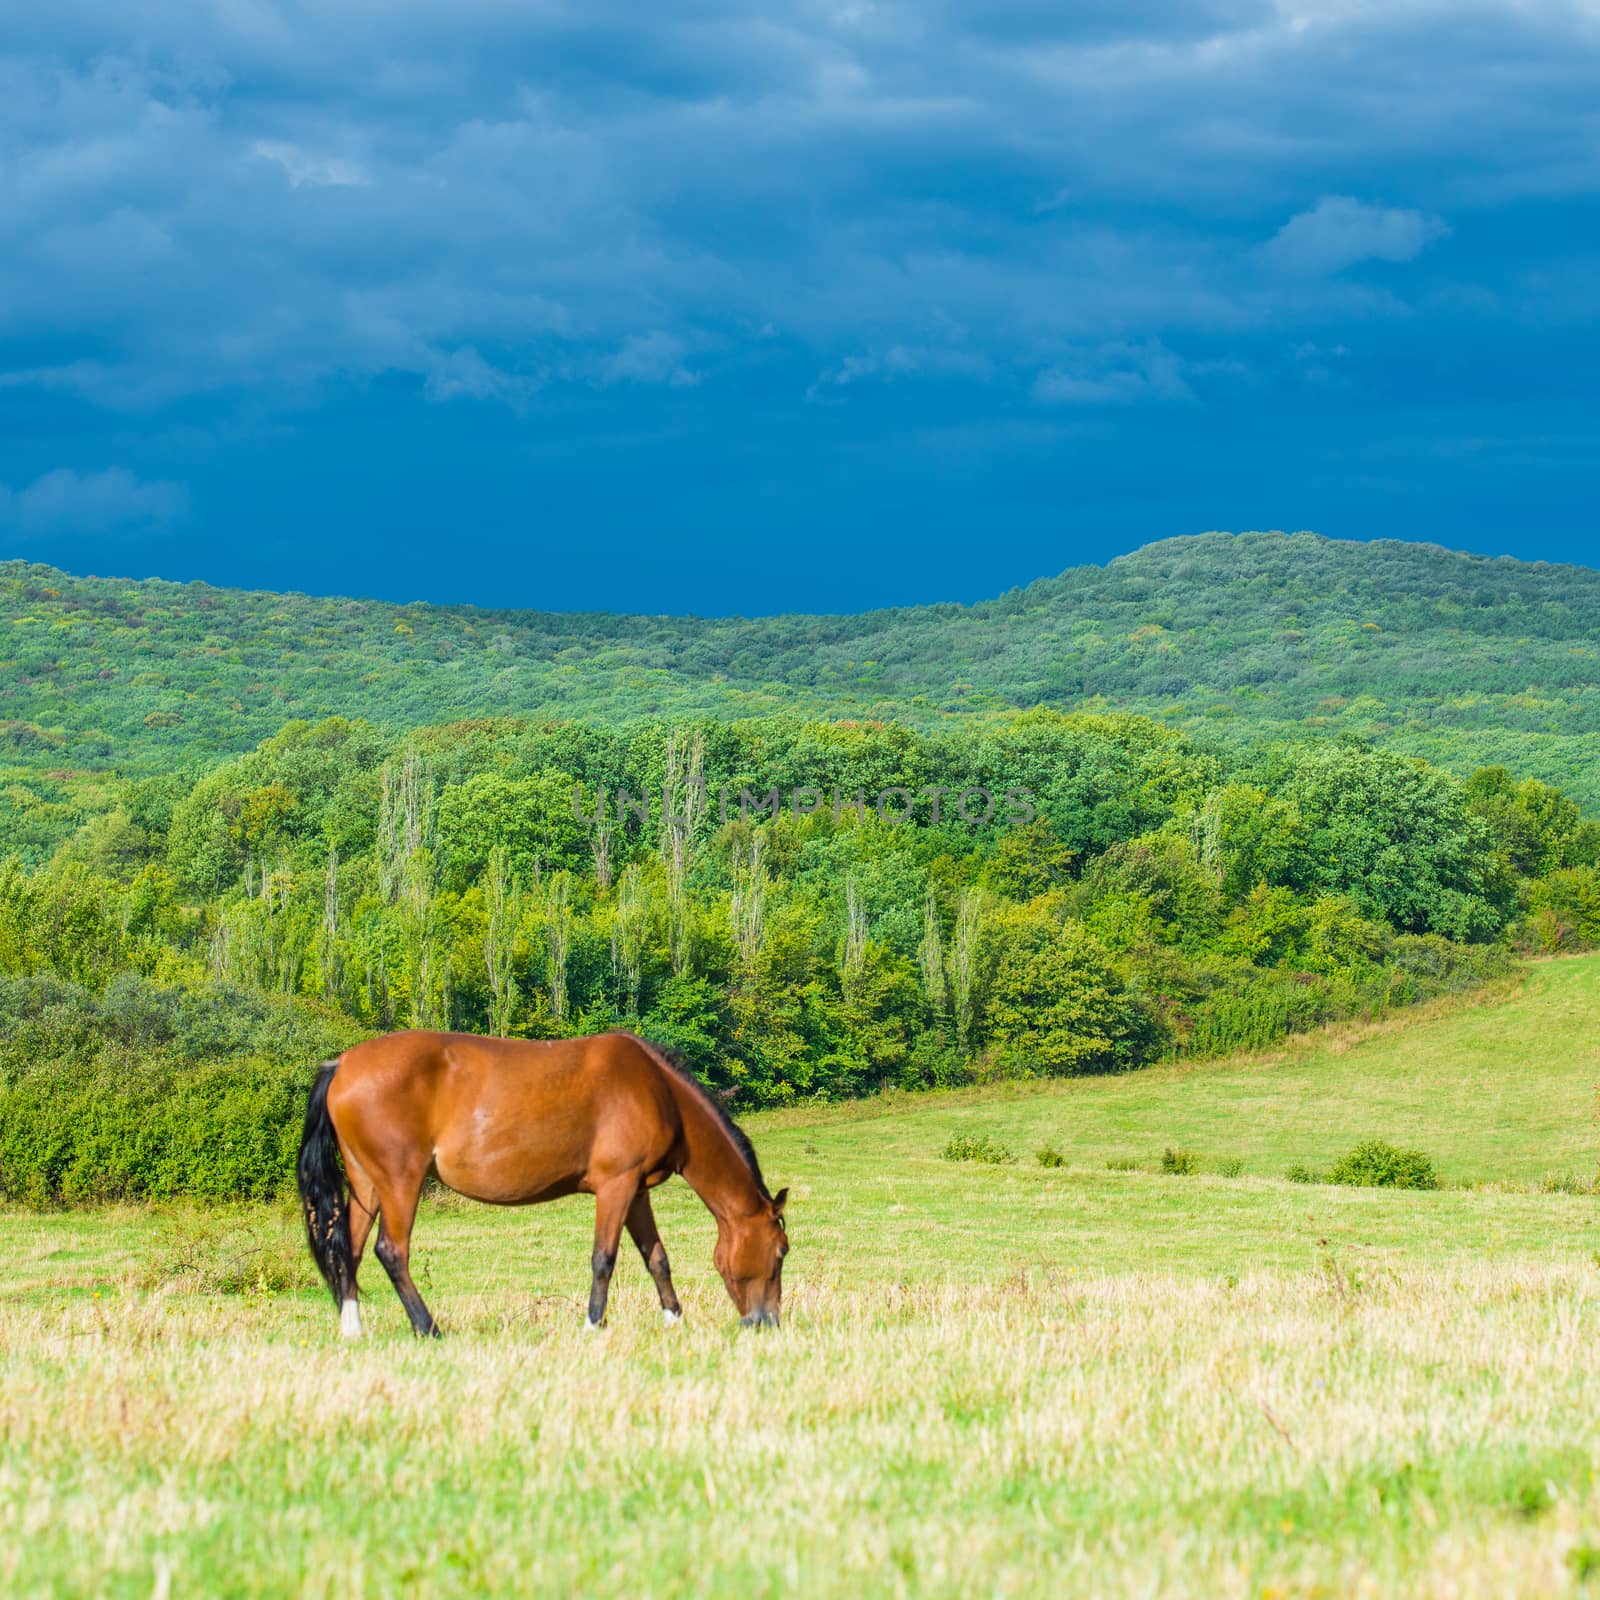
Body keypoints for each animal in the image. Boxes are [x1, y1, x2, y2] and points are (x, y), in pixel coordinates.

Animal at [299, 1024, 787, 1337]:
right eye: (782, 1250)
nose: (766, 1321)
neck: (658, 1090)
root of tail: (341, 1065)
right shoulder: (616, 1185)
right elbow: (604, 1258)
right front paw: (593, 1324)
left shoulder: (636, 1191)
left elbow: (656, 1258)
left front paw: (674, 1319)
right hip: (400, 1180)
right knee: (391, 1251)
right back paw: (428, 1327)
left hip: (367, 1185)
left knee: (348, 1250)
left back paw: (352, 1328)